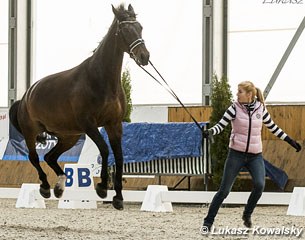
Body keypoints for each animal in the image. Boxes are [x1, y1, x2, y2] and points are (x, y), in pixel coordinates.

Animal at [10, 3, 150, 210]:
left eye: (140, 27)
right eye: (125, 30)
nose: (144, 56)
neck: (101, 79)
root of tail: (26, 95)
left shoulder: (114, 124)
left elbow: (119, 156)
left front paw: (118, 197)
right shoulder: (89, 125)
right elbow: (105, 149)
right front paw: (102, 187)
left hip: (70, 136)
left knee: (50, 157)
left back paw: (60, 187)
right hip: (31, 131)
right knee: (34, 157)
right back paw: (45, 187)